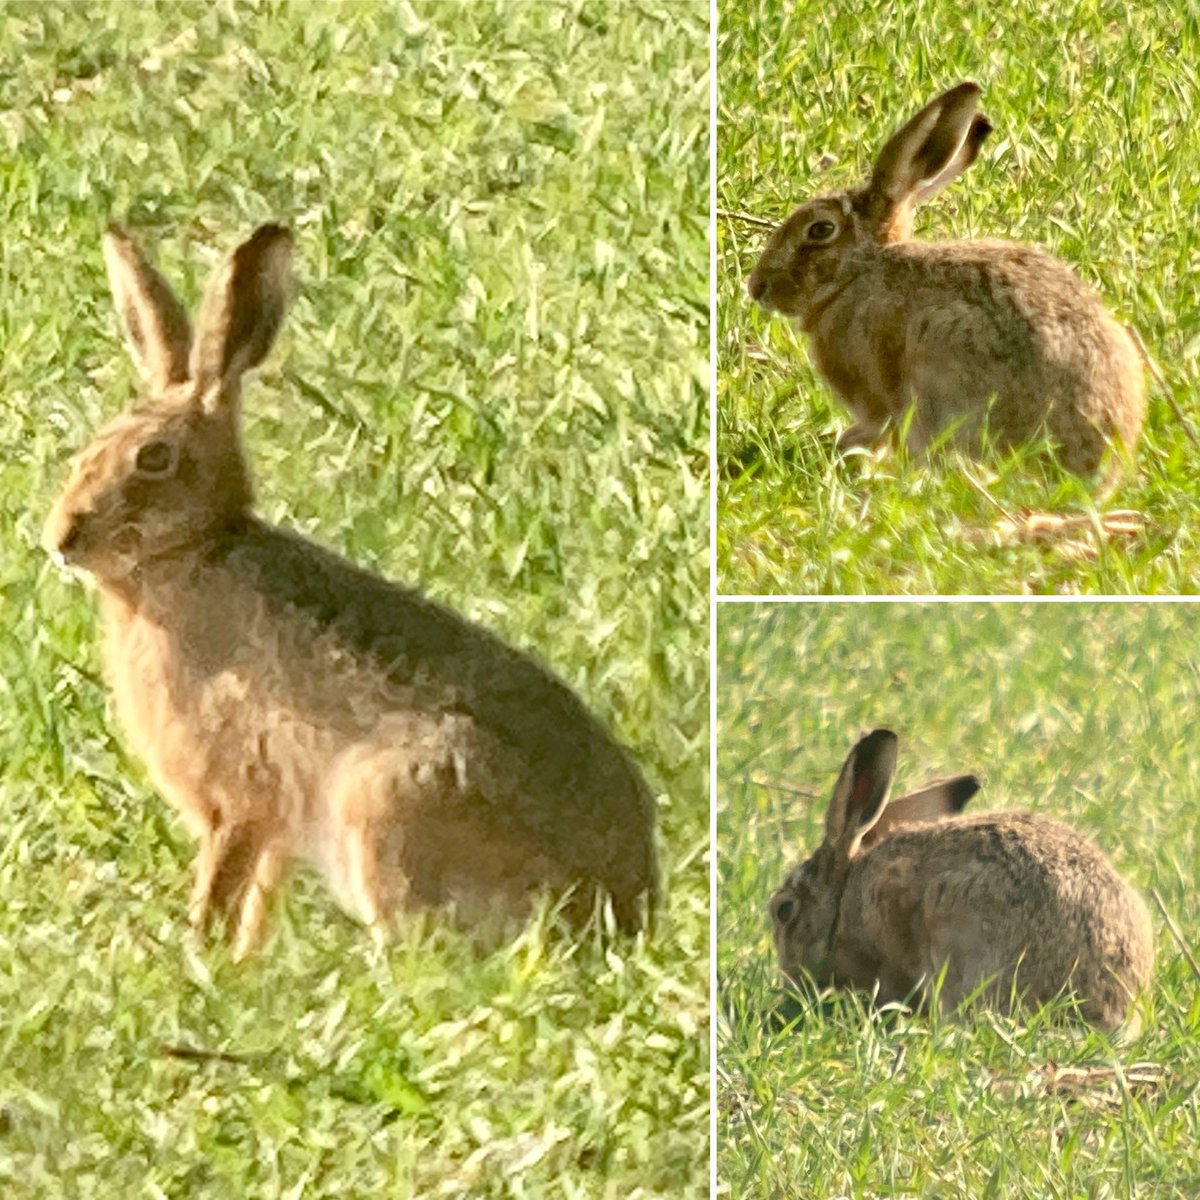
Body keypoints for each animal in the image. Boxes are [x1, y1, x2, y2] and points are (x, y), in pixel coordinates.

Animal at [43, 223, 659, 957]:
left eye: (154, 458)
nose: (61, 536)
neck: (188, 553)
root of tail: (622, 910)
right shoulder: (272, 830)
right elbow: (260, 900)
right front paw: (244, 965)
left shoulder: (237, 797)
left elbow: (222, 886)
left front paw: (199, 958)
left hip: (383, 803)